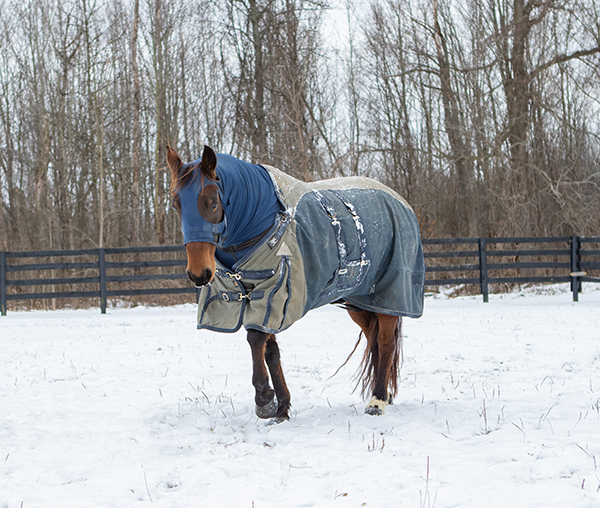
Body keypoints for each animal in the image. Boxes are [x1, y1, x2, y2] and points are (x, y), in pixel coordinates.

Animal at [166, 145, 424, 422]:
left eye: (213, 201)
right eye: (176, 204)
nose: (199, 273)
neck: (262, 221)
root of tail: (401, 202)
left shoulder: (275, 293)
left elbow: (255, 339)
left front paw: (264, 401)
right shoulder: (259, 297)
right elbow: (270, 350)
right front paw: (281, 408)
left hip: (390, 295)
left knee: (386, 344)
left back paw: (377, 400)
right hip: (360, 302)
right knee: (373, 340)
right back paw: (385, 393)